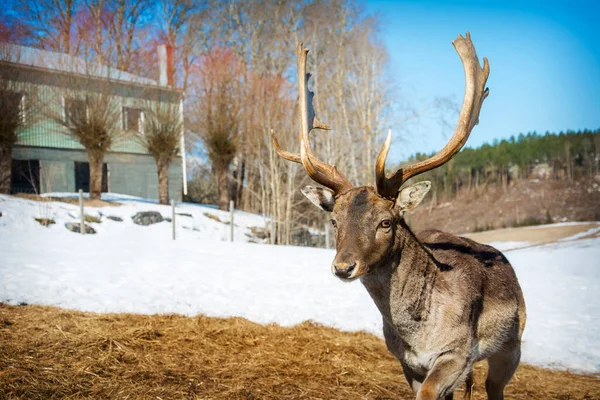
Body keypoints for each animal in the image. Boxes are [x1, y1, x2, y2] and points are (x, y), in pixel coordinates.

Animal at [272, 32, 524, 400]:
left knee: (494, 386)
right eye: (334, 221)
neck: (417, 336)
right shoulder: (405, 361)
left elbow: (431, 392)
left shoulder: (458, 351)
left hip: (512, 344)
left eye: (386, 221)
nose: (343, 267)